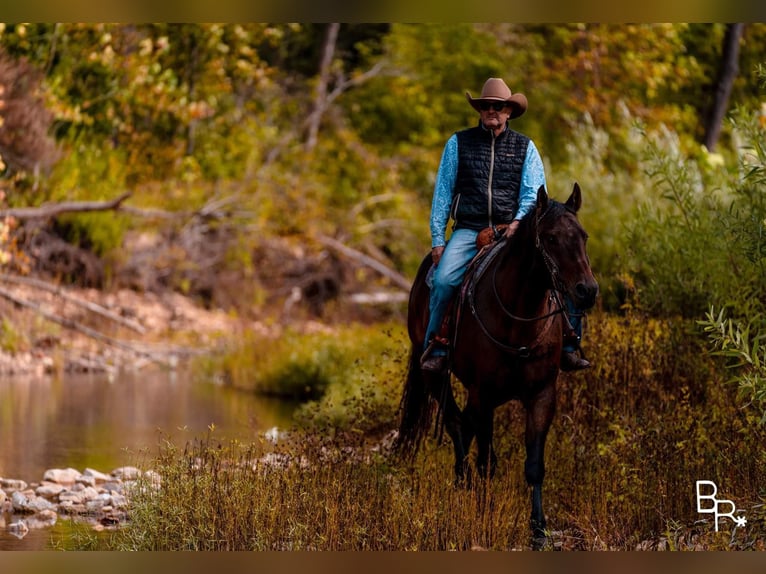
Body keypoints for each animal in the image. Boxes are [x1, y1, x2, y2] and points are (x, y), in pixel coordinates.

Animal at [400, 183, 604, 544]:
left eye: (583, 236)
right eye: (551, 237)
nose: (587, 290)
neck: (518, 320)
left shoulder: (542, 395)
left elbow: (534, 465)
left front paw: (538, 530)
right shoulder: (483, 395)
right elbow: (487, 462)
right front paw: (483, 517)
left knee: (463, 425)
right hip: (436, 378)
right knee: (455, 423)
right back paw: (462, 483)